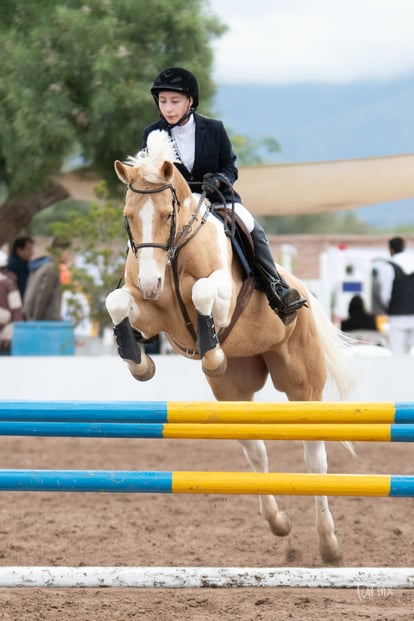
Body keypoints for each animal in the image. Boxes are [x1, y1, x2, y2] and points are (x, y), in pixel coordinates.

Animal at [105, 128, 354, 564]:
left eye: (167, 215)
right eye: (128, 217)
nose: (151, 284)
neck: (173, 253)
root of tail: (304, 287)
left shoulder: (220, 294)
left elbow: (204, 293)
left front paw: (211, 350)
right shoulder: (150, 312)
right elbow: (116, 301)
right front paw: (140, 362)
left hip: (303, 386)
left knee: (315, 459)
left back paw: (329, 544)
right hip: (233, 391)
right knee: (256, 452)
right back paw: (279, 522)